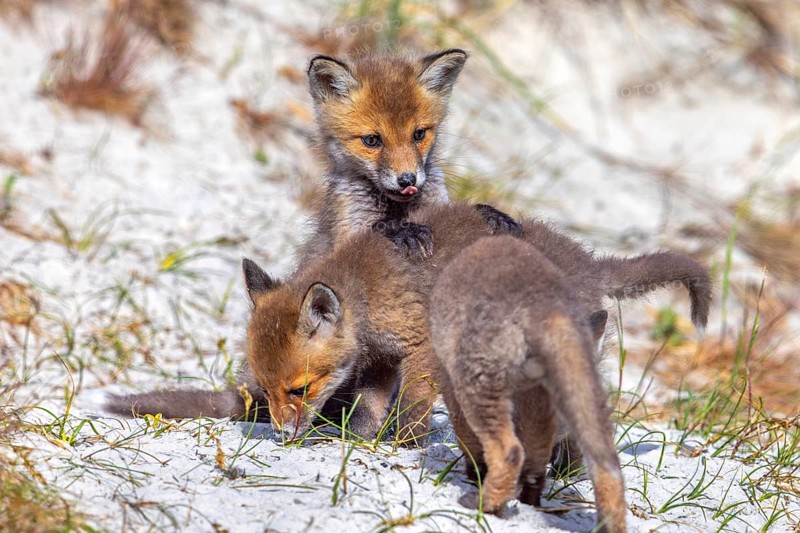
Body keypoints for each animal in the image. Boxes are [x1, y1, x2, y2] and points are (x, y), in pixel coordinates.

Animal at [106, 202, 711, 450]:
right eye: (268, 391)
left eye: (299, 390)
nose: (280, 436)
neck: (368, 297)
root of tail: (586, 259)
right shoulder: (377, 360)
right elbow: (369, 407)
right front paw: (363, 441)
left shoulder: (419, 349)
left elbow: (415, 406)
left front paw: (404, 445)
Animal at [298, 48, 519, 261]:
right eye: (371, 140)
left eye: (418, 134)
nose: (407, 180)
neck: (398, 208)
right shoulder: (345, 233)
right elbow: (377, 227)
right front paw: (405, 231)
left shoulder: (438, 204)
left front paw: (491, 213)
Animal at [428, 235, 626, 532]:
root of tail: (548, 309)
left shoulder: (450, 381)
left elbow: (469, 441)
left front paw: (475, 475)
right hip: (562, 396)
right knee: (596, 466)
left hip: (479, 383)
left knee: (510, 451)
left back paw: (483, 504)